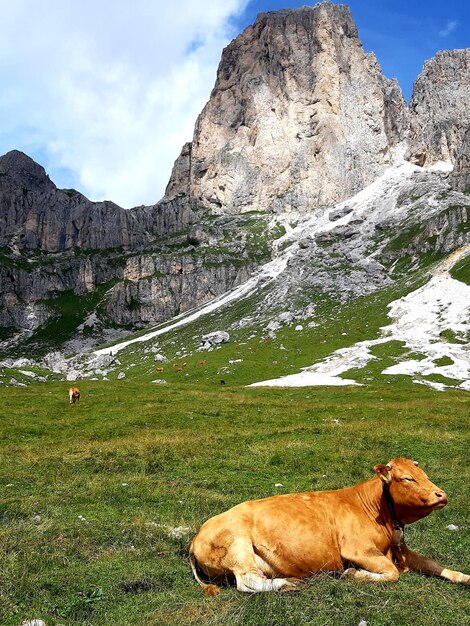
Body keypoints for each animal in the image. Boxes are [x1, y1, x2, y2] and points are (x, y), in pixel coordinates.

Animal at [189, 456, 468, 592]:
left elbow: (433, 564)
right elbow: (392, 573)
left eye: (425, 475)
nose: (441, 495)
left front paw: (463, 577)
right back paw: (288, 584)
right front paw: (354, 574)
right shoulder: (358, 551)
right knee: (246, 582)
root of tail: (197, 535)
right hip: (237, 546)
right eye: (407, 478)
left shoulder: (402, 550)